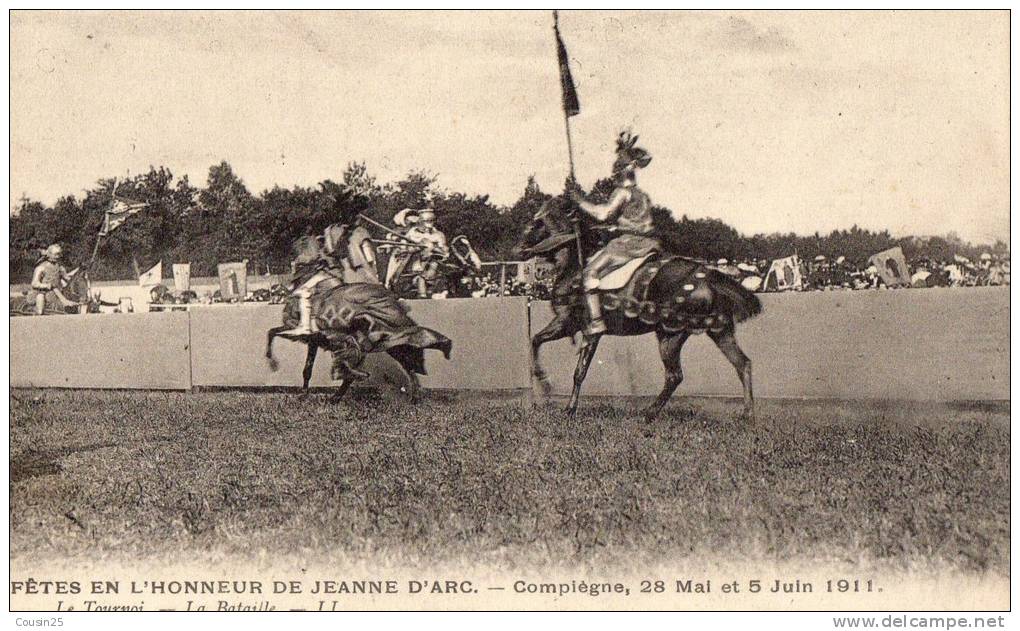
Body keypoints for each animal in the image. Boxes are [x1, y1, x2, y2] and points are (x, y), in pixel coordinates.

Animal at [518, 199, 767, 422]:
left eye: (534, 224)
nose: (518, 250)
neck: (574, 267)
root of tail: (708, 276)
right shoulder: (566, 324)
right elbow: (535, 340)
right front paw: (544, 383)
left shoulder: (587, 330)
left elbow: (579, 371)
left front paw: (568, 409)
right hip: (719, 331)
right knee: (742, 364)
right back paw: (747, 415)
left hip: (670, 334)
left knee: (675, 376)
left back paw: (648, 413)